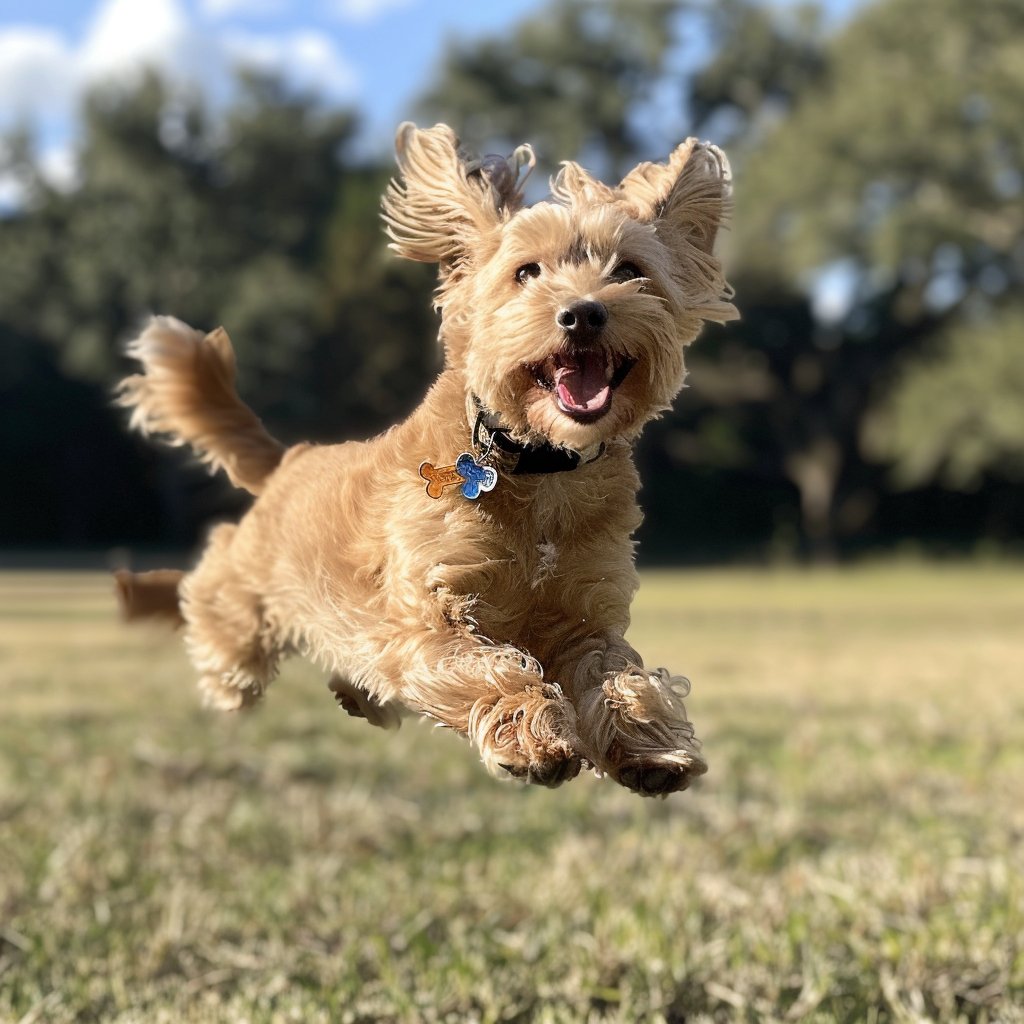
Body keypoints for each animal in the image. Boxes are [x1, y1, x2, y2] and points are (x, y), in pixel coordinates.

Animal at [116, 121, 737, 798]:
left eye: (629, 269)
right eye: (526, 272)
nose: (582, 313)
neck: (538, 468)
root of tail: (294, 458)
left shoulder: (586, 612)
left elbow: (616, 671)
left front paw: (648, 743)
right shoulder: (425, 610)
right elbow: (488, 666)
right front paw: (532, 737)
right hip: (251, 579)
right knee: (217, 578)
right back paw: (222, 662)